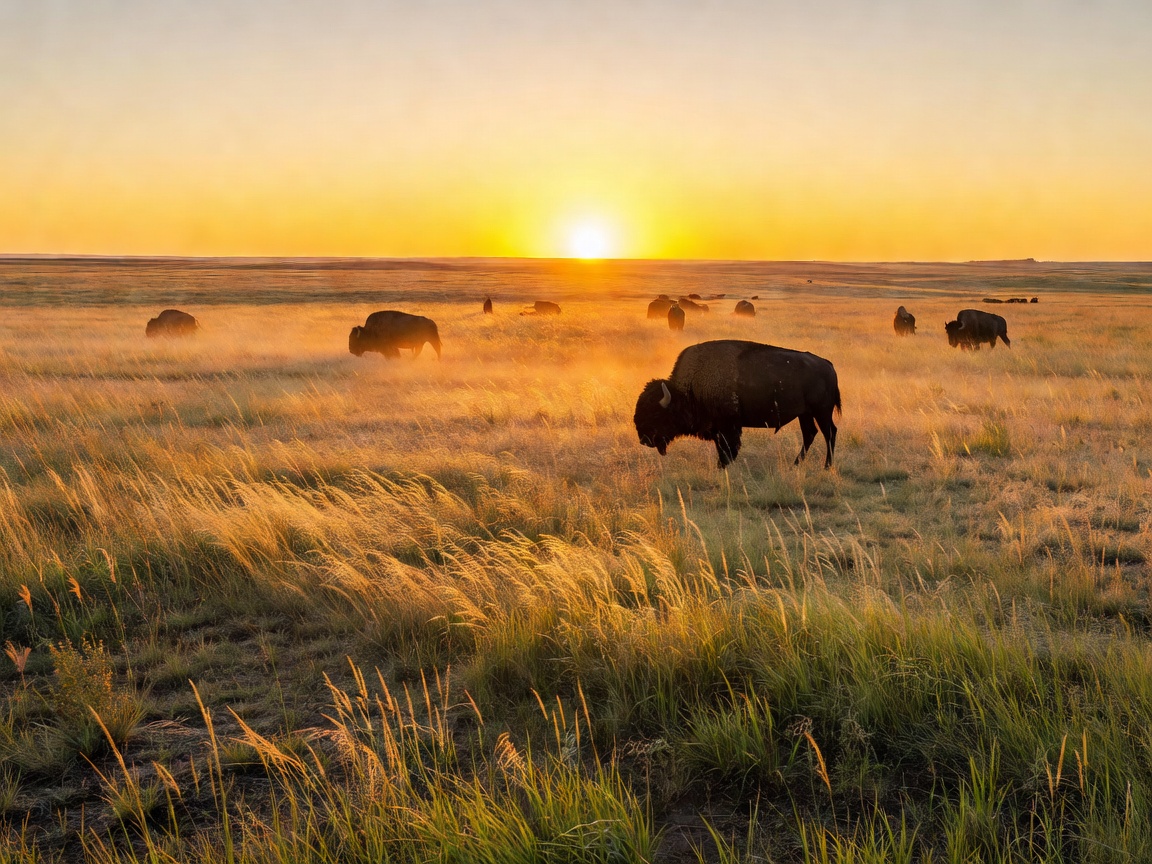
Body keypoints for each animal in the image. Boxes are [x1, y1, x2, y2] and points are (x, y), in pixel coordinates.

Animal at [634, 340, 840, 469]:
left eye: (655, 414)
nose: (644, 439)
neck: (690, 389)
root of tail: (828, 365)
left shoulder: (728, 427)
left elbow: (728, 449)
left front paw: (723, 466)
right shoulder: (718, 429)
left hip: (821, 412)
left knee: (829, 432)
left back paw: (827, 466)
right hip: (804, 414)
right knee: (810, 434)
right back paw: (795, 464)